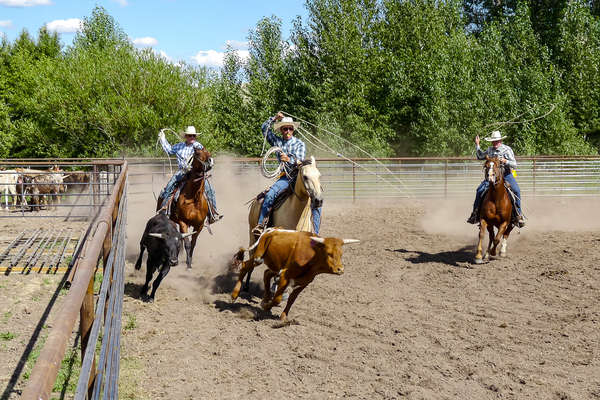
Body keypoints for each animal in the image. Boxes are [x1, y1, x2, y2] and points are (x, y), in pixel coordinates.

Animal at [240, 156, 324, 290]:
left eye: (319, 175)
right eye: (305, 176)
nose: (318, 200)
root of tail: (257, 199)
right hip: (252, 234)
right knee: (252, 257)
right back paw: (247, 285)